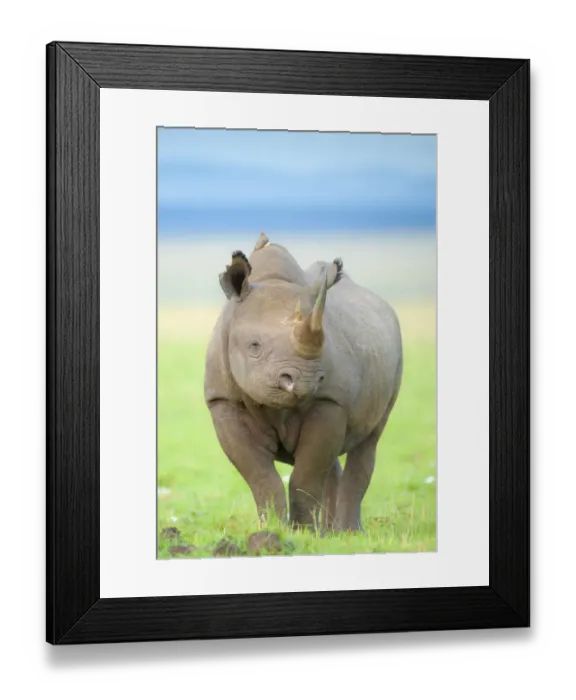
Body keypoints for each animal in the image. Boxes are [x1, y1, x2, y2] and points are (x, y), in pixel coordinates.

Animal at [204, 233, 403, 533]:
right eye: (254, 346)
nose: (306, 379)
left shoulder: (330, 400)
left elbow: (306, 477)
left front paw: (301, 533)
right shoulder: (223, 400)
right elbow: (262, 477)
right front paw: (272, 529)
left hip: (394, 350)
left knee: (369, 440)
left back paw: (348, 533)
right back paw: (329, 533)